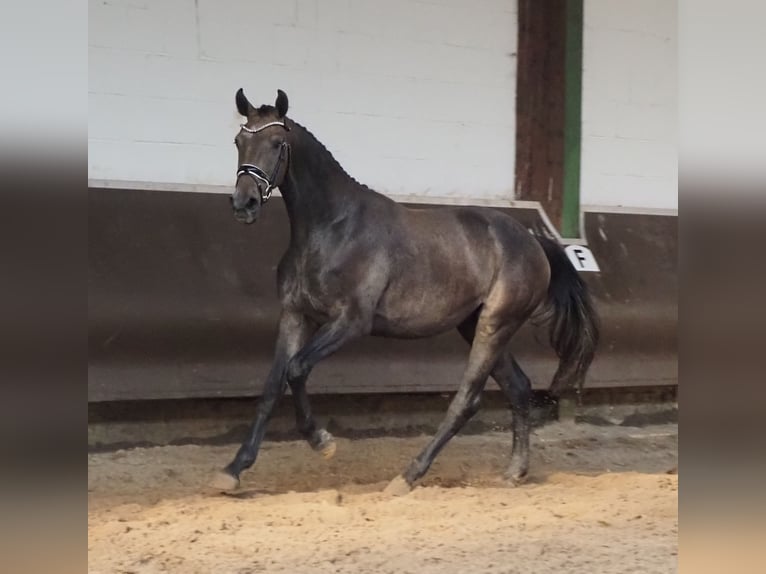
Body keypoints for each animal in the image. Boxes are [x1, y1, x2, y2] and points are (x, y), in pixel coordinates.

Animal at [213, 89, 604, 496]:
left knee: (467, 399)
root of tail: (533, 243)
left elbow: (297, 368)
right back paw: (514, 471)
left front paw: (322, 442)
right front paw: (232, 470)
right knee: (519, 387)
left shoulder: (350, 322)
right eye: (239, 141)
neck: (331, 228)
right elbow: (272, 387)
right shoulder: (295, 315)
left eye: (277, 143)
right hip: (476, 326)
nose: (244, 204)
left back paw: (408, 475)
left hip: (495, 325)